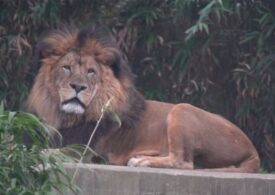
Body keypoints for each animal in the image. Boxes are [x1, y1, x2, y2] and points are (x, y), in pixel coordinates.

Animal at [27, 25, 262, 172]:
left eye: (91, 72)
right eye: (66, 68)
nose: (78, 87)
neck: (69, 117)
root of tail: (252, 148)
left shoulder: (86, 151)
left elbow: (48, 151)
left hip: (182, 109)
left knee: (184, 162)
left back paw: (142, 161)